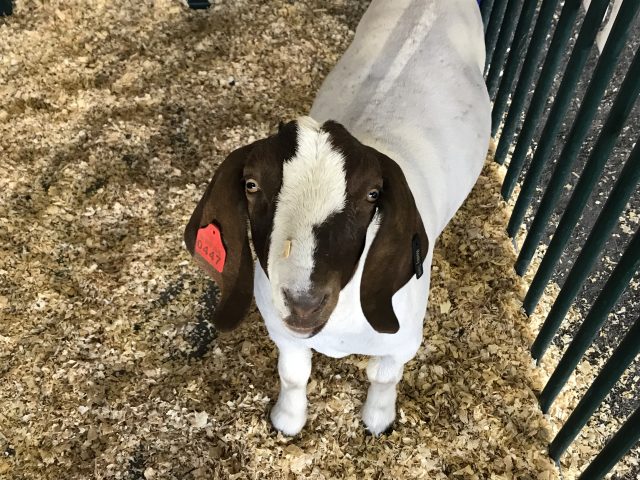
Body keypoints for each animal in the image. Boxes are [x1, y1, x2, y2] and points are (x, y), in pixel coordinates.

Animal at [184, 0, 490, 436]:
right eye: (251, 185)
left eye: (373, 194)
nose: (304, 303)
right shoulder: (285, 333)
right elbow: (294, 375)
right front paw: (287, 421)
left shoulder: (402, 342)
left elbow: (384, 378)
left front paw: (378, 420)